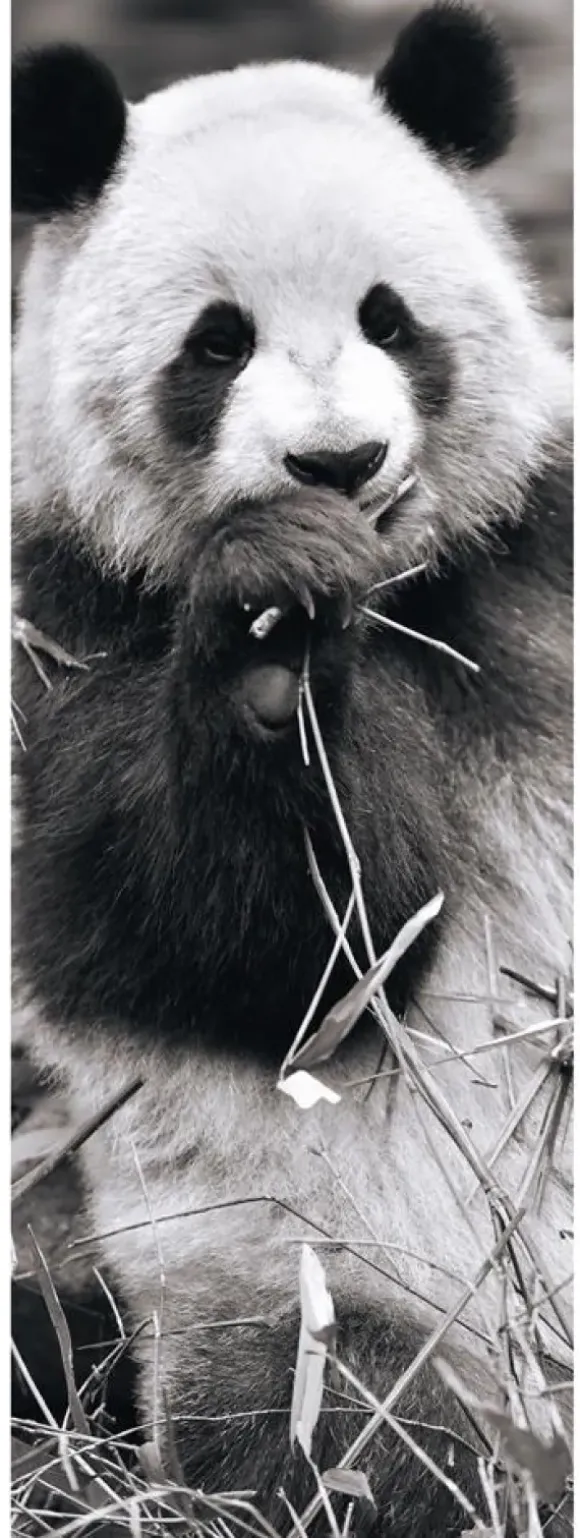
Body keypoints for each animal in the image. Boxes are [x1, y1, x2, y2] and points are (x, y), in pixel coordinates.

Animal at [11, 5, 572, 1536]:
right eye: (216, 343)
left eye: (391, 318)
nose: (339, 460)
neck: (396, 589)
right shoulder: (63, 626)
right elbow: (261, 953)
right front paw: (271, 648)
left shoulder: (543, 554)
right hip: (297, 1276)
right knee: (359, 1429)